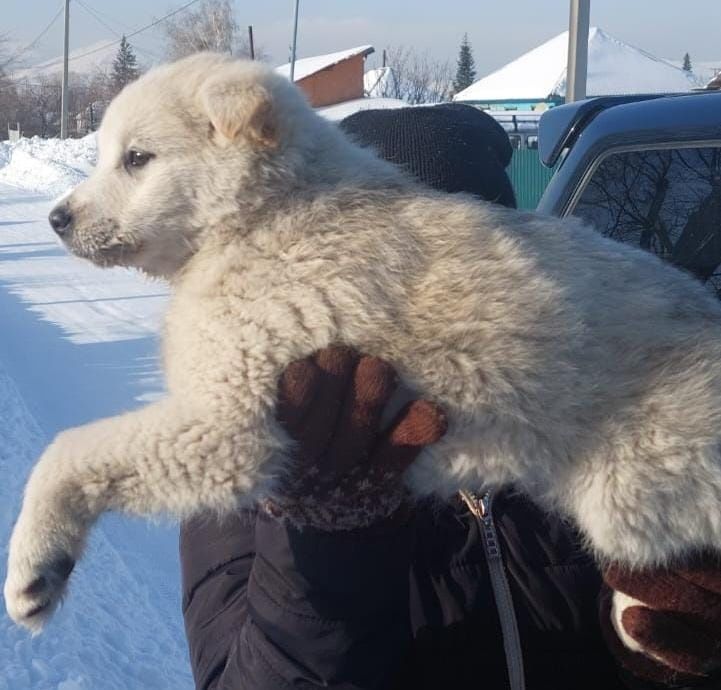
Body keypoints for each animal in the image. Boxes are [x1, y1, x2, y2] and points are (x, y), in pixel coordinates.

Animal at [4, 53, 720, 632]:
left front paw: (34, 563)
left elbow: (68, 452)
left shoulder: (231, 427)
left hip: (645, 487)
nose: (56, 219)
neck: (267, 218)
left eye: (136, 159)